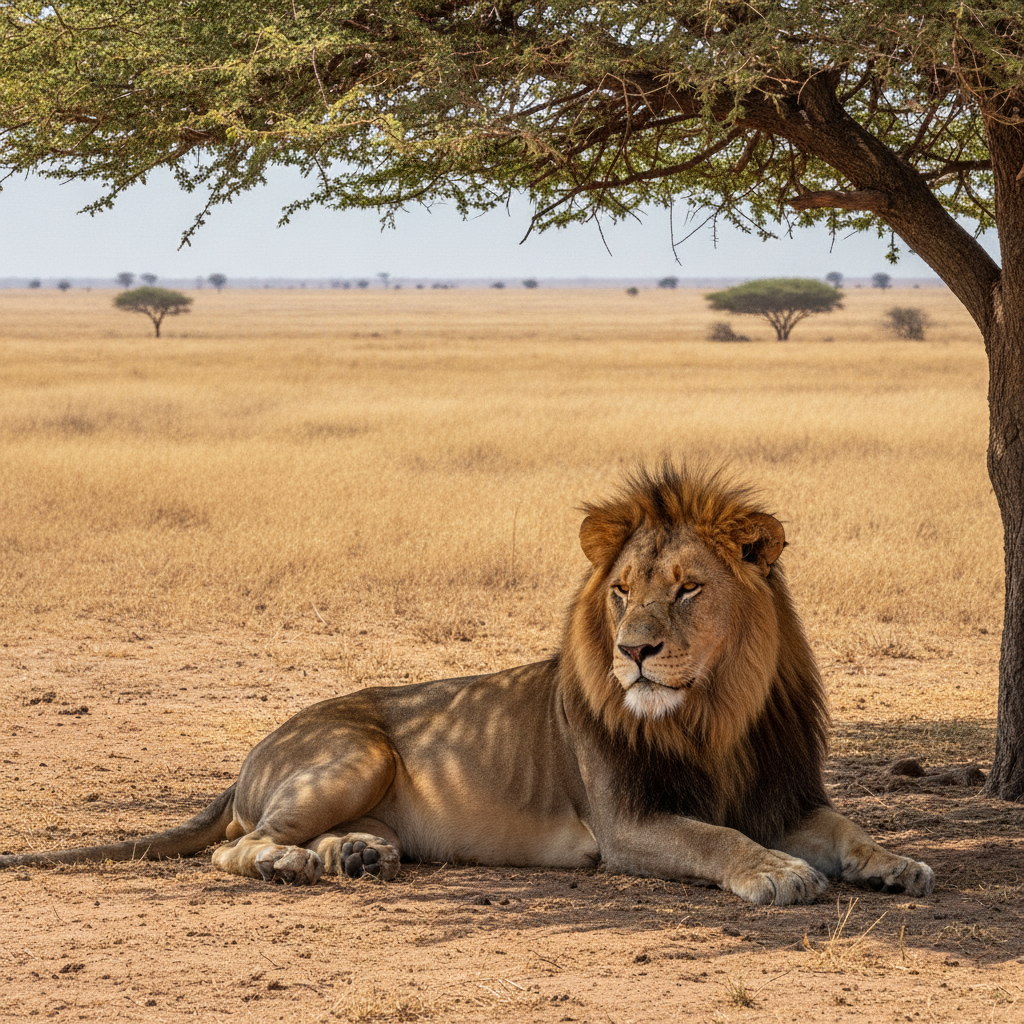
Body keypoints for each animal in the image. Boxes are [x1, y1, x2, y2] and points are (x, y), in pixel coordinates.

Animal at [0, 465, 934, 905]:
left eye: (688, 589)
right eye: (622, 591)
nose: (633, 651)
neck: (716, 714)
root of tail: (247, 758)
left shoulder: (785, 794)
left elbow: (851, 829)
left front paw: (900, 865)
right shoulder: (628, 826)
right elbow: (719, 841)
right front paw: (778, 874)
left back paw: (357, 855)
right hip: (356, 753)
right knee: (235, 846)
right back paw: (297, 865)